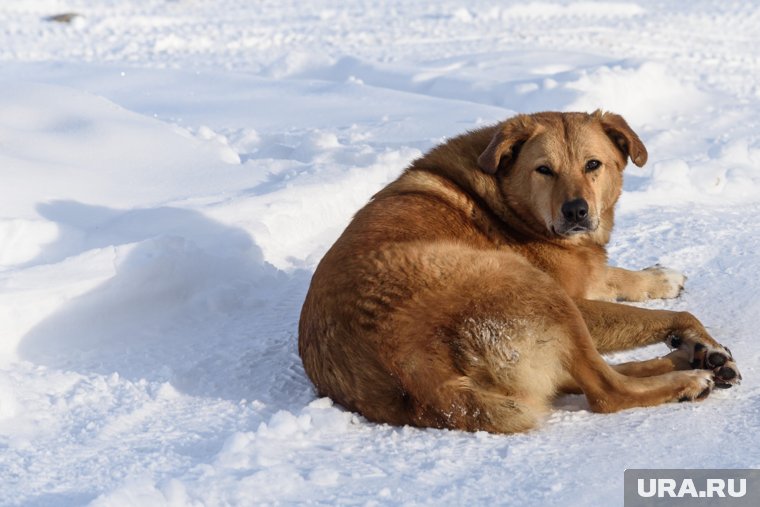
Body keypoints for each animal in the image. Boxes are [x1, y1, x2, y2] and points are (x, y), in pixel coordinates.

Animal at [298, 110, 744, 432]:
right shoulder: (575, 297)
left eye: (593, 164)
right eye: (544, 169)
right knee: (606, 390)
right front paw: (695, 333)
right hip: (535, 290)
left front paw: (660, 278)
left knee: (581, 376)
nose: (577, 211)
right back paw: (687, 377)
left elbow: (614, 275)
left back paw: (691, 359)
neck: (507, 200)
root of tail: (412, 371)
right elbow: (676, 314)